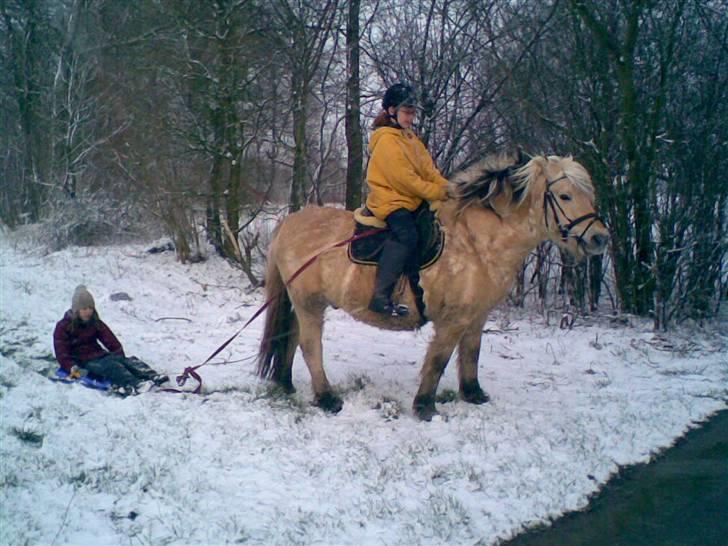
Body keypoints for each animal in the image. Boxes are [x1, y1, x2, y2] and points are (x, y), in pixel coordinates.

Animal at [256, 154, 608, 420]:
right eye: (565, 196)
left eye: (589, 195)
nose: (599, 238)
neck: (477, 243)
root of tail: (289, 222)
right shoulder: (453, 320)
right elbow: (439, 360)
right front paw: (425, 407)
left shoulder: (476, 317)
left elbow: (471, 352)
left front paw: (473, 394)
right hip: (309, 303)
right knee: (309, 345)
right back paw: (326, 398)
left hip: (300, 303)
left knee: (289, 338)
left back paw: (286, 384)